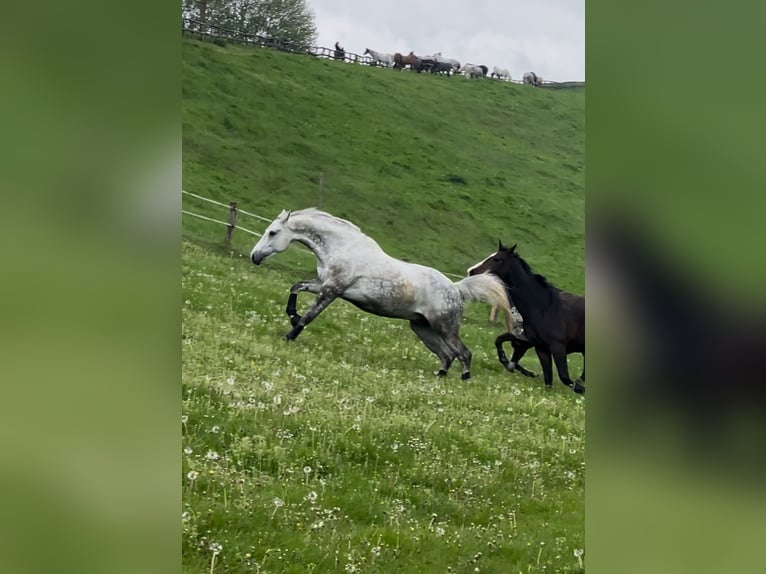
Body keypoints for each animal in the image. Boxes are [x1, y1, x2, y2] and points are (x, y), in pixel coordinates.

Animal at [252, 209, 512, 380]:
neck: (343, 248)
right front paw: (291, 315)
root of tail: (457, 289)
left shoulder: (332, 290)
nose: (255, 257)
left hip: (445, 327)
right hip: (422, 327)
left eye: (273, 232)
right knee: (447, 355)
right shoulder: (323, 284)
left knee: (463, 353)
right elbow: (295, 287)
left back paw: (464, 378)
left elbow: (309, 316)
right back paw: (439, 375)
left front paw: (290, 334)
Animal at [468, 243, 588, 396]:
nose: (471, 271)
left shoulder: (558, 347)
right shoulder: (540, 348)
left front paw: (580, 389)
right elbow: (548, 380)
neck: (543, 306)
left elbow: (564, 377)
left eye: (497, 259)